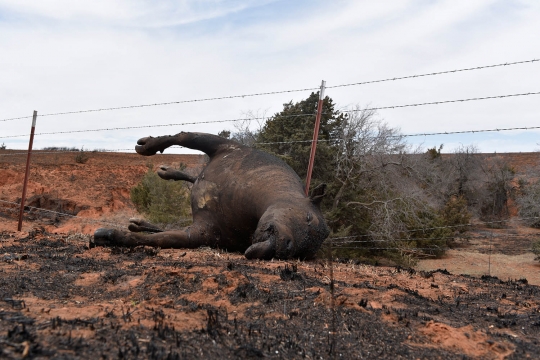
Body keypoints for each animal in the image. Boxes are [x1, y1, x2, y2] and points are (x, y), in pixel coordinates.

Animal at [92, 131, 330, 258]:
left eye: (301, 253)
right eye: (308, 218)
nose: (279, 247)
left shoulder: (198, 234)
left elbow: (155, 239)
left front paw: (110, 236)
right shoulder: (223, 145)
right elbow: (183, 136)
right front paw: (149, 145)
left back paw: (138, 222)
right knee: (191, 177)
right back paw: (167, 171)